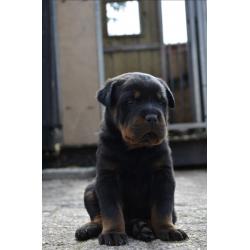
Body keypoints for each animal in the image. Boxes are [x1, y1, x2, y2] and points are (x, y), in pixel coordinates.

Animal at [75, 73, 188, 246]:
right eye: (130, 101)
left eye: (161, 102)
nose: (152, 117)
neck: (136, 150)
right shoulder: (107, 177)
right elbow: (111, 210)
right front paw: (113, 233)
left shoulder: (163, 175)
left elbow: (162, 207)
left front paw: (168, 229)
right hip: (89, 189)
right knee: (98, 217)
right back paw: (90, 228)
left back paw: (141, 227)